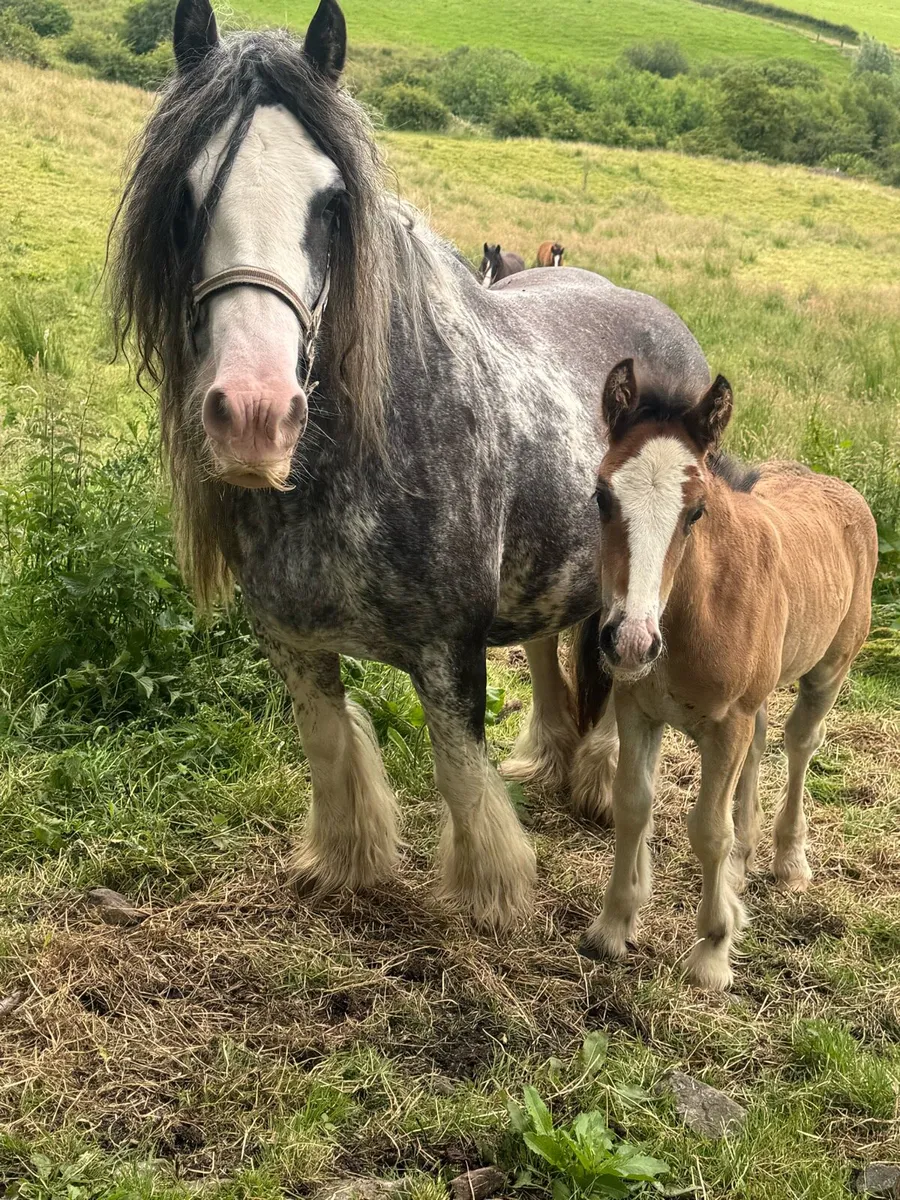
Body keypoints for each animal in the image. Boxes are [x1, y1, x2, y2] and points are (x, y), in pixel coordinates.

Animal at [110, 0, 711, 931]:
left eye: (332, 203)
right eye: (184, 194)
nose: (255, 416)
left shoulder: (446, 648)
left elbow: (459, 769)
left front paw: (491, 895)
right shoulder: (294, 644)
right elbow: (331, 744)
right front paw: (346, 861)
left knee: (617, 671)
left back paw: (596, 780)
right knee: (550, 652)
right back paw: (549, 758)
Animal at [574, 359, 877, 988]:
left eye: (696, 511)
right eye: (601, 496)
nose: (631, 641)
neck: (693, 611)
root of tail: (841, 488)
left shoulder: (725, 725)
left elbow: (708, 831)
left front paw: (712, 951)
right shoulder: (637, 710)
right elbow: (634, 806)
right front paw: (612, 926)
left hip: (829, 670)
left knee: (799, 743)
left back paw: (789, 860)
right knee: (761, 748)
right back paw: (744, 862)